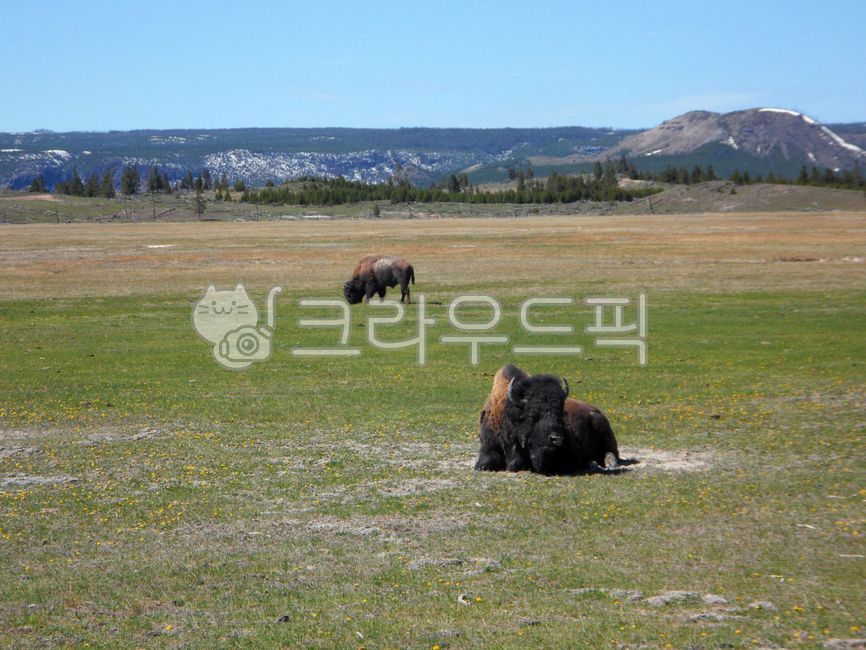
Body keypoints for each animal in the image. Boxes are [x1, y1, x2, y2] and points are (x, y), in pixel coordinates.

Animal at [475, 364, 620, 475]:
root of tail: (597, 412)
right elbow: (484, 464)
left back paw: (607, 463)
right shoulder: (489, 447)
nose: (556, 439)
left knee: (610, 453)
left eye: (560, 414)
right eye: (533, 416)